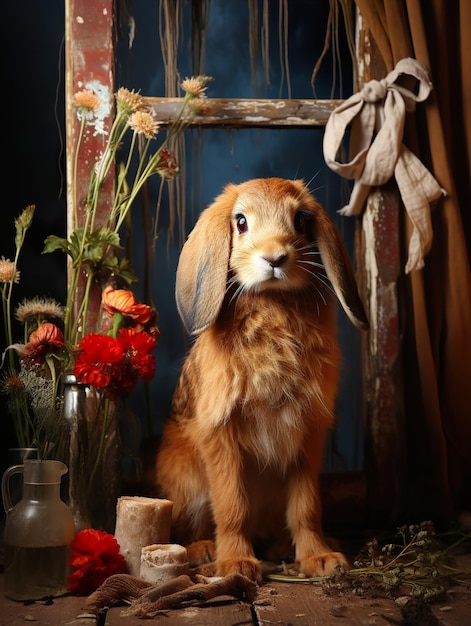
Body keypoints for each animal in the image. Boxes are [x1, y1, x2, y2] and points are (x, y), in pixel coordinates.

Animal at [157, 174, 370, 580]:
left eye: (300, 221)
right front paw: (237, 564)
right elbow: (232, 506)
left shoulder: (307, 436)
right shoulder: (221, 434)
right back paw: (205, 550)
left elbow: (306, 507)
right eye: (240, 222)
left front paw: (321, 560)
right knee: (190, 525)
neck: (273, 303)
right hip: (187, 481)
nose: (275, 258)